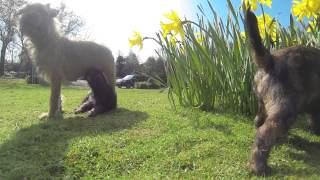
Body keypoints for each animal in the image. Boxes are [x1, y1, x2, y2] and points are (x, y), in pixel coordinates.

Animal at [245, 9, 320, 175]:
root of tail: (271, 60)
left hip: (263, 105)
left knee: (258, 122)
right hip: (285, 109)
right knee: (264, 133)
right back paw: (259, 167)